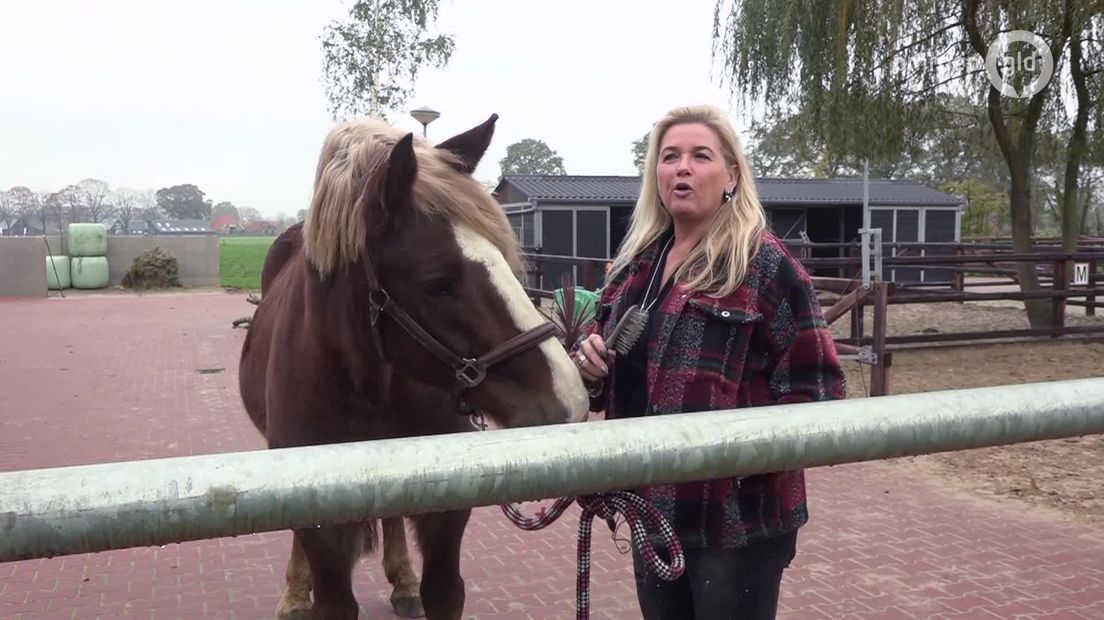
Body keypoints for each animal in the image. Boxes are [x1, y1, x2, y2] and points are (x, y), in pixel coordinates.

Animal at [237, 111, 591, 617]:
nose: (569, 396)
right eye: (437, 284)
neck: (367, 384)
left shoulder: (445, 518)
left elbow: (440, 587)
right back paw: (294, 592)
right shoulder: (322, 532)